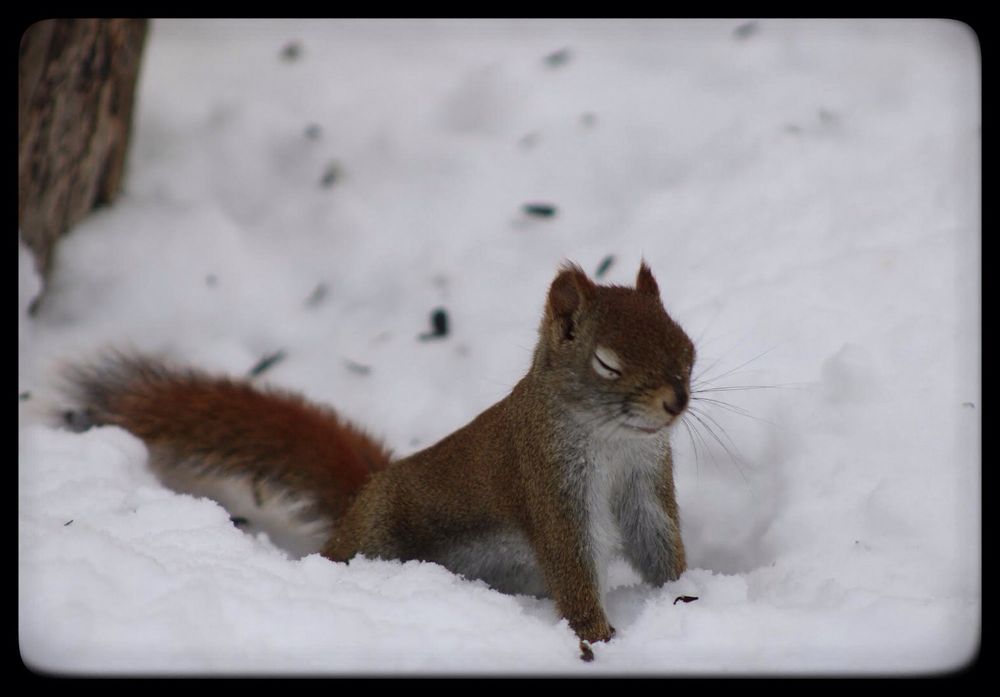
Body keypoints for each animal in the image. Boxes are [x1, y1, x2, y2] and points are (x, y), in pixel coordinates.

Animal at [60, 261, 695, 658]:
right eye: (607, 363)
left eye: (687, 346)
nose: (677, 401)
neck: (614, 440)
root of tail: (356, 505)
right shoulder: (546, 481)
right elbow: (570, 561)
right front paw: (599, 636)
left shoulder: (646, 481)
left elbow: (657, 541)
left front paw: (684, 597)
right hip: (379, 535)